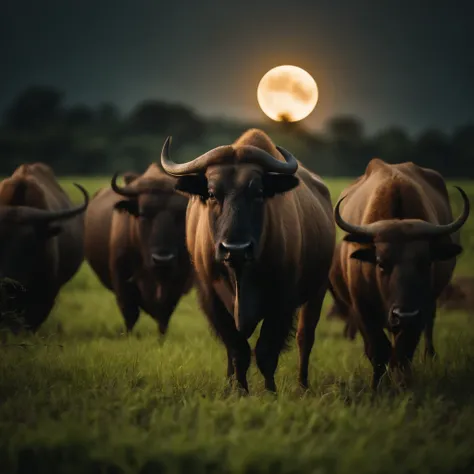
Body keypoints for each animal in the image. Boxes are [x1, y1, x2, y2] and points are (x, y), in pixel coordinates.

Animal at [83, 165, 193, 336]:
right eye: (143, 214)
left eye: (181, 214)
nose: (162, 259)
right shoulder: (122, 280)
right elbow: (130, 314)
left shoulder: (178, 281)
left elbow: (164, 314)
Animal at [160, 127, 336, 392]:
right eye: (211, 193)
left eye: (259, 192)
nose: (236, 249)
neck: (241, 274)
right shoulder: (213, 299)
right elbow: (237, 349)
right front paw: (240, 391)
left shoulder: (282, 300)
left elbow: (266, 351)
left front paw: (270, 391)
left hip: (317, 290)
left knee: (305, 337)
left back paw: (302, 385)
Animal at [330, 159, 470, 388]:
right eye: (380, 263)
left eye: (425, 262)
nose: (404, 314)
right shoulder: (362, 309)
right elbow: (378, 350)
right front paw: (377, 387)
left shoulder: (420, 309)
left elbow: (404, 350)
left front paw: (403, 383)